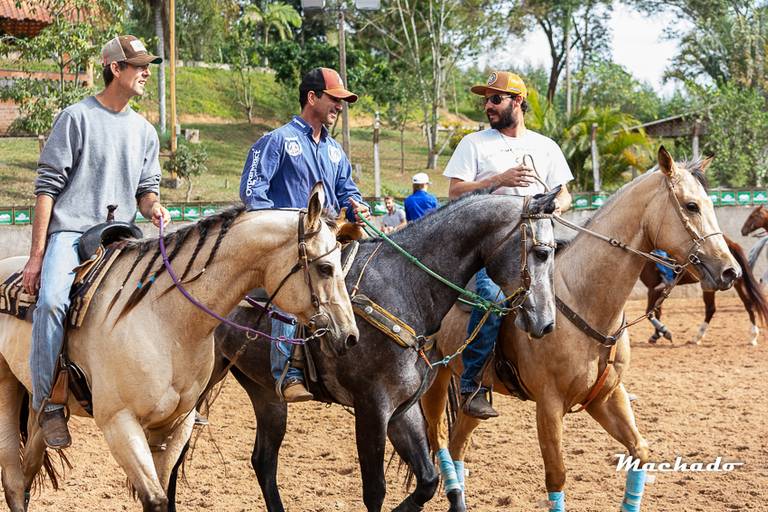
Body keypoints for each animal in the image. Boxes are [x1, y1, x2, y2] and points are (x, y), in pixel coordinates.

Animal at [0, 184, 358, 512]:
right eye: (325, 268)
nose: (350, 336)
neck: (164, 319)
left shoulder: (176, 424)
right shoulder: (119, 423)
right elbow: (157, 499)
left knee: (27, 472)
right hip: (7, 392)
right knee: (14, 479)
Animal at [167, 188, 563, 512]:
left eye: (555, 249)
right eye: (542, 252)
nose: (546, 323)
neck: (403, 287)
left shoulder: (403, 409)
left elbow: (428, 480)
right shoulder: (372, 407)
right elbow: (375, 490)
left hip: (266, 393)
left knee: (263, 461)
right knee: (172, 453)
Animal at [420, 147, 740, 512]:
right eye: (691, 206)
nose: (731, 271)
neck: (582, 299)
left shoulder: (607, 396)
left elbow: (640, 452)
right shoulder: (549, 405)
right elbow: (556, 476)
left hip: (474, 393)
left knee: (458, 442)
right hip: (435, 380)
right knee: (438, 439)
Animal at [640, 235, 768, 346]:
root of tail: (730, 243)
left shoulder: (653, 289)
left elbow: (649, 312)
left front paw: (664, 332)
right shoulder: (659, 291)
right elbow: (657, 311)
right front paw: (657, 335)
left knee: (712, 309)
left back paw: (697, 337)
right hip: (734, 283)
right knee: (748, 305)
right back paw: (753, 337)